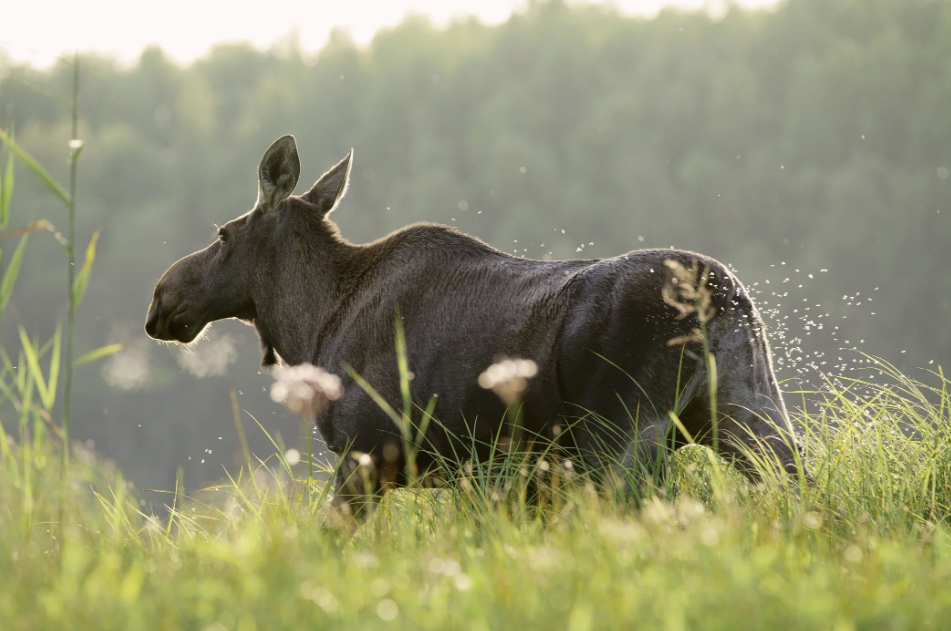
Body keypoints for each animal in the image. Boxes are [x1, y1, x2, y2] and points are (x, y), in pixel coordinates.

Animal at [145, 135, 808, 520]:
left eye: (223, 234)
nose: (161, 298)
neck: (310, 325)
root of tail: (719, 296)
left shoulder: (368, 452)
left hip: (620, 432)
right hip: (749, 407)